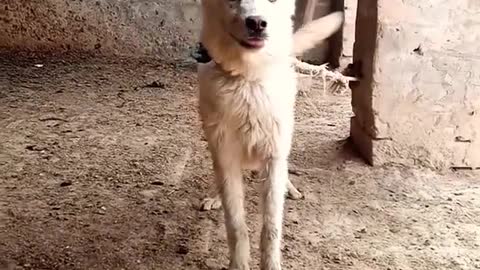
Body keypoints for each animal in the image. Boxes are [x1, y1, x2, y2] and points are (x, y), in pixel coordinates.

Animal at [197, 1, 344, 268]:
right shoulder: (225, 157)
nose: (257, 23)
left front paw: (271, 263)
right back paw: (214, 196)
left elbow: (271, 230)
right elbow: (236, 226)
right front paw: (239, 264)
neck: (248, 77)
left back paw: (290, 188)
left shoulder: (274, 157)